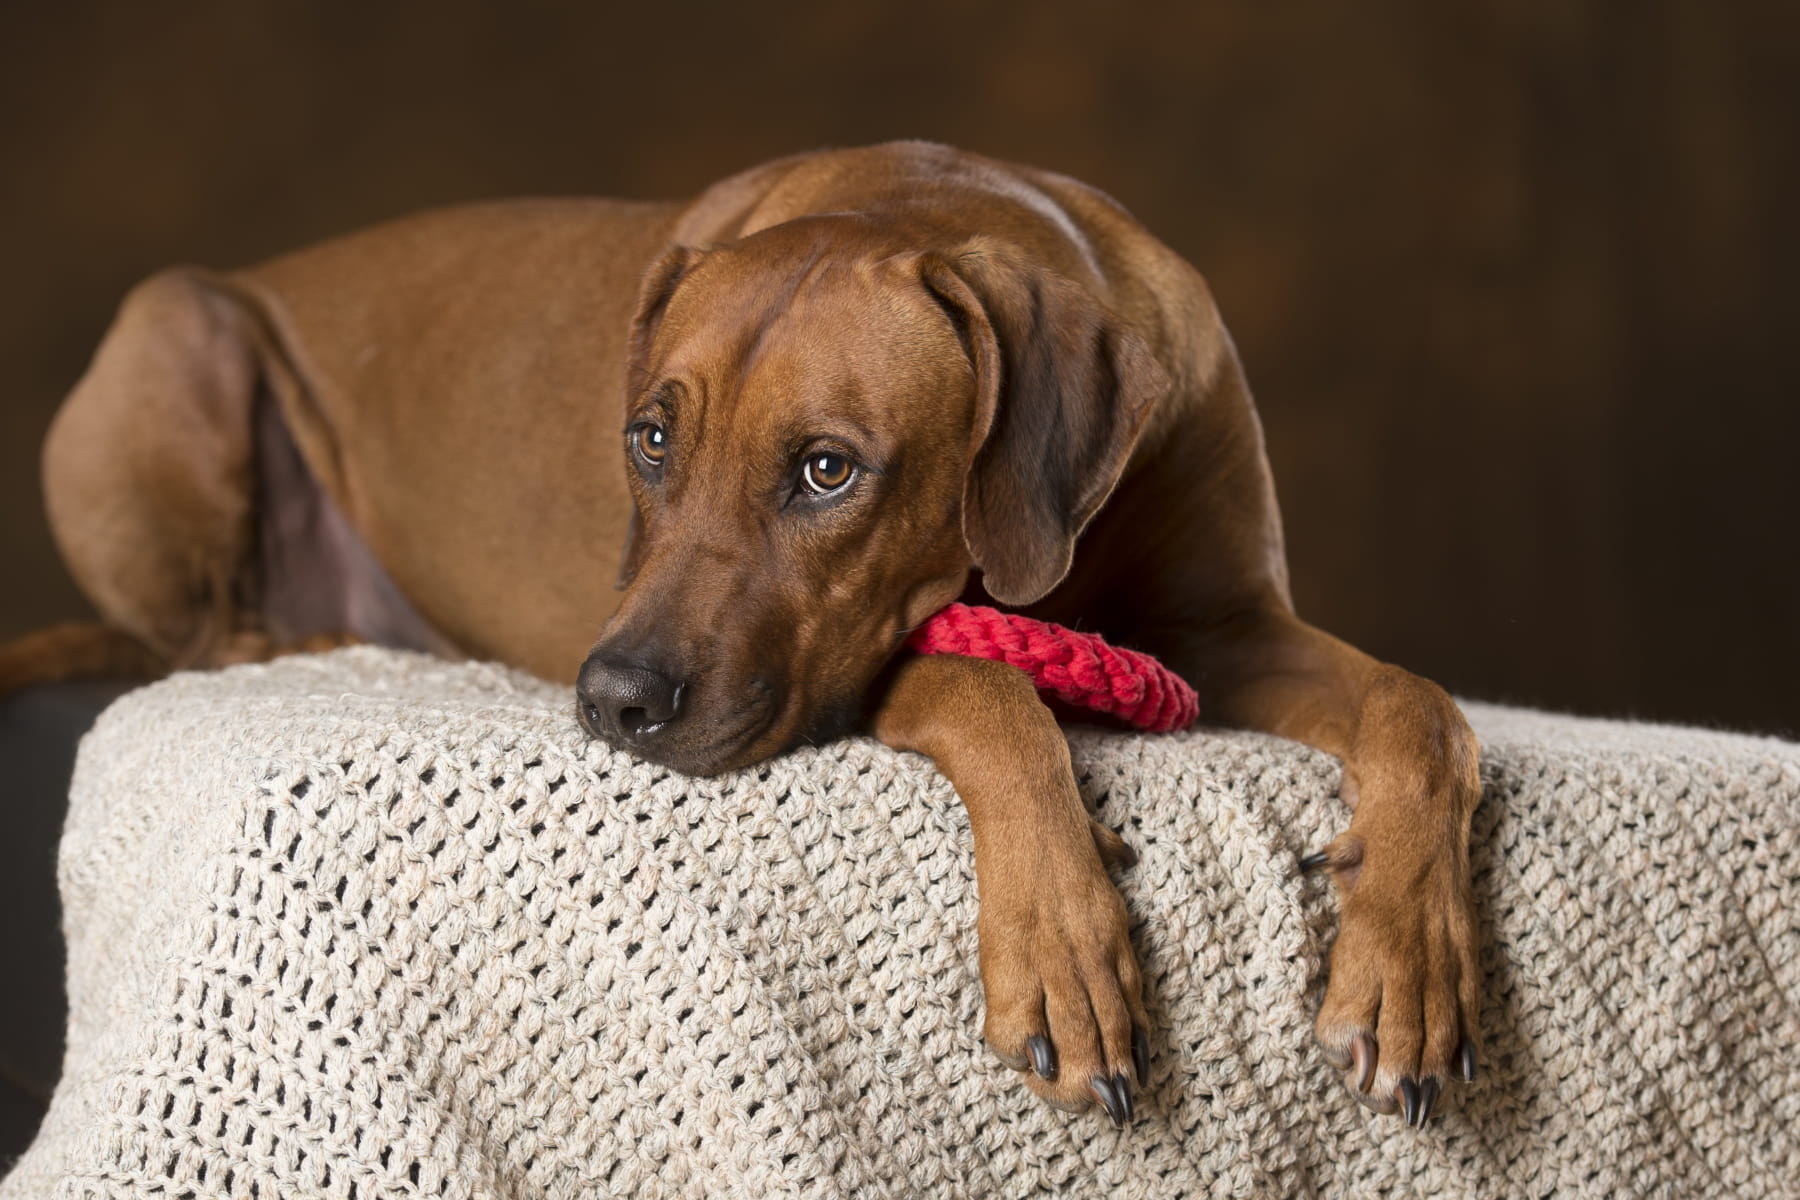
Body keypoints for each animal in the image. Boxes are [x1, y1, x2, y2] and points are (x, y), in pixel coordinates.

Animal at [3, 141, 1481, 1128]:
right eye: (650, 439)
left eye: (827, 470)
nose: (613, 700)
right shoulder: (873, 659)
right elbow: (986, 689)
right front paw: (1063, 940)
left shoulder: (1229, 628)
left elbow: (1423, 710)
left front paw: (1408, 963)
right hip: (175, 324)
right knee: (197, 625)